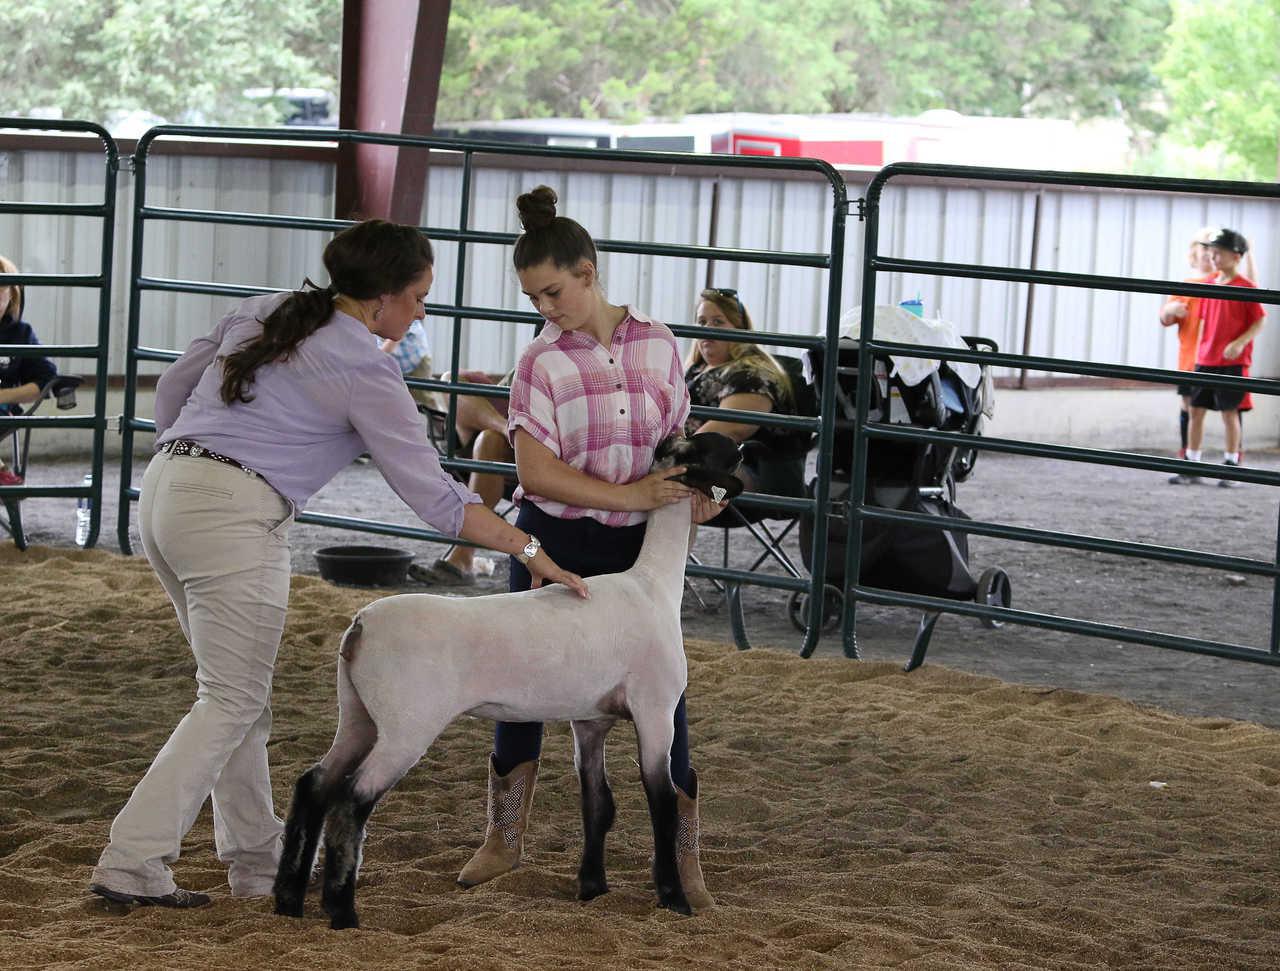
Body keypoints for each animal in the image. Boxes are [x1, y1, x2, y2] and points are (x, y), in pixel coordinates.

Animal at [273, 434, 747, 936]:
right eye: (719, 449)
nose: (743, 447)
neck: (653, 584)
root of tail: (360, 624)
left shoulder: (590, 721)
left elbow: (598, 804)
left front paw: (592, 889)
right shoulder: (656, 711)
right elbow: (662, 802)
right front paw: (673, 899)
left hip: (359, 716)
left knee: (313, 786)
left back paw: (289, 900)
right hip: (406, 727)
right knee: (350, 801)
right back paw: (342, 912)